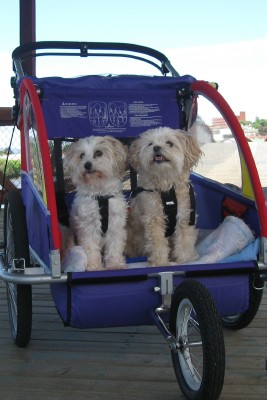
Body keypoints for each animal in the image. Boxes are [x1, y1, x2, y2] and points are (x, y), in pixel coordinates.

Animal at [64, 136, 128, 270]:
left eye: (98, 153)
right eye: (81, 155)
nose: (87, 164)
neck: (100, 193)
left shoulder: (115, 225)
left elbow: (114, 247)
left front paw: (115, 265)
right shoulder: (88, 228)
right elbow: (91, 248)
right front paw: (94, 266)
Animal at [126, 126, 202, 268]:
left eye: (169, 143)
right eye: (150, 144)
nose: (156, 147)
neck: (166, 186)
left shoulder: (184, 217)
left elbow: (185, 241)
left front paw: (186, 260)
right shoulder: (154, 220)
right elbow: (158, 244)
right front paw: (160, 262)